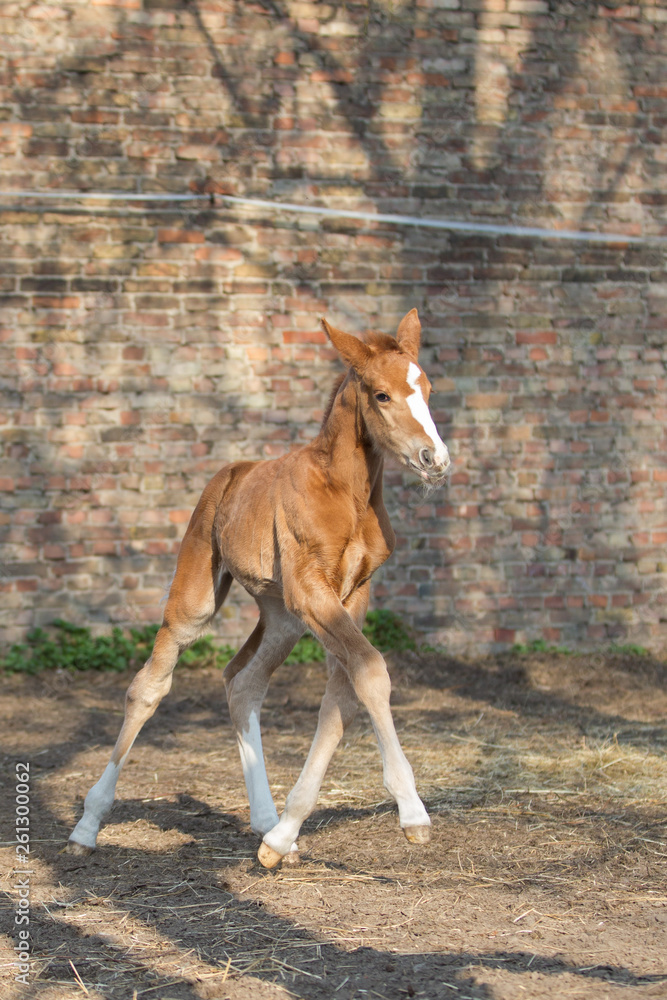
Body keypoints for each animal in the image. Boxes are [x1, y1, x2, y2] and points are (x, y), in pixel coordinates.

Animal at [68, 308, 450, 867]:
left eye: (427, 388)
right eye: (381, 395)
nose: (434, 459)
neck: (346, 493)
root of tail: (230, 473)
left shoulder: (351, 596)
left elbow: (344, 695)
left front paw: (282, 837)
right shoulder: (312, 590)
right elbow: (371, 671)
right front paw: (413, 813)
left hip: (281, 618)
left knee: (242, 681)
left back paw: (266, 822)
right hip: (200, 599)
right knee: (149, 686)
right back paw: (88, 824)